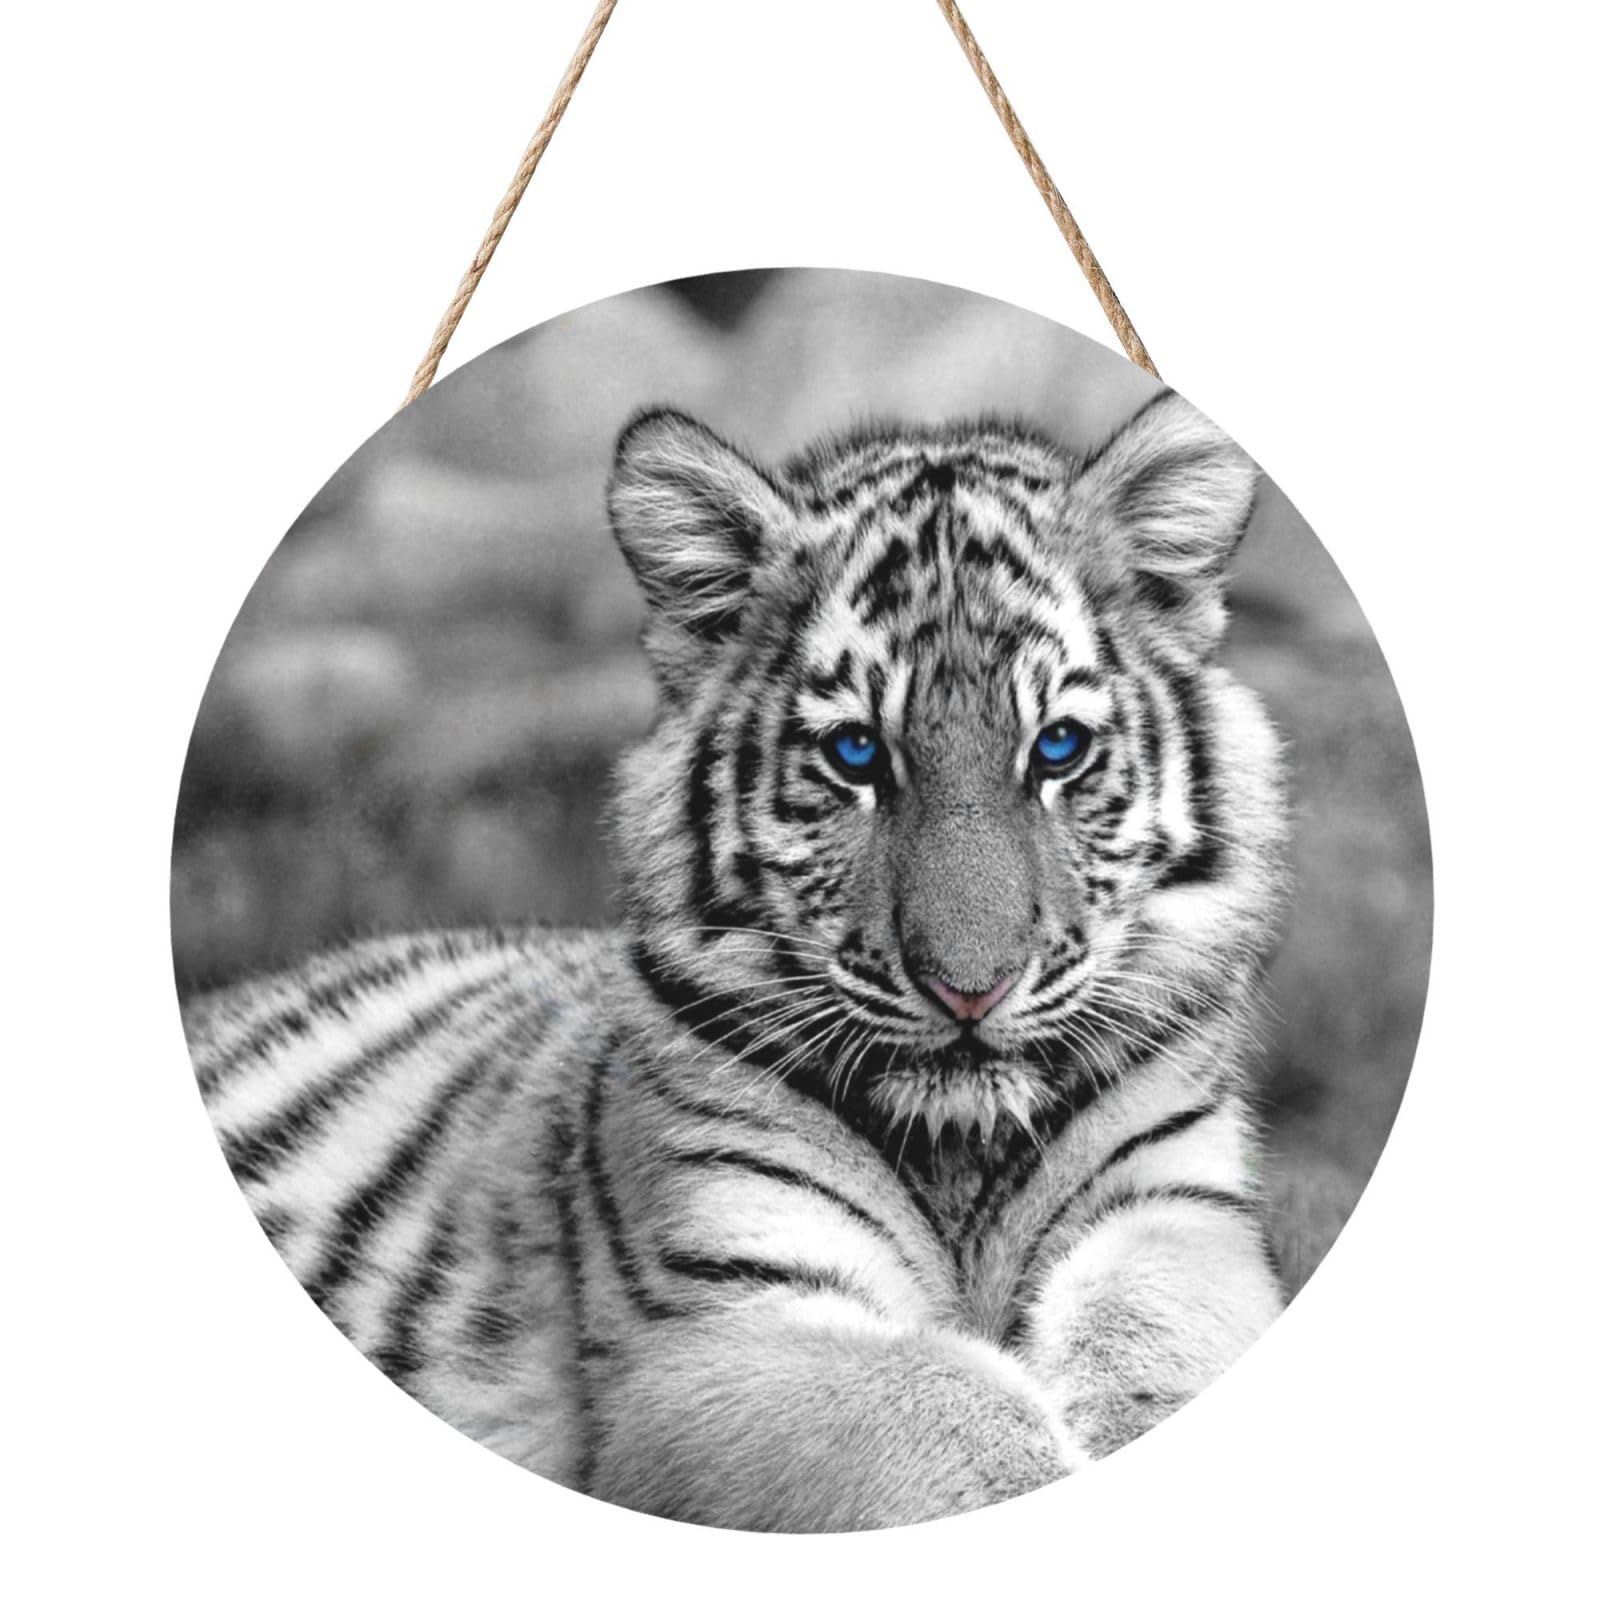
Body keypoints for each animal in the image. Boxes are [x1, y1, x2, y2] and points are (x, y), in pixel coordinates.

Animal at [183, 389, 1291, 1532]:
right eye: (856, 755)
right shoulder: (713, 1332)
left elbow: (1158, 1356)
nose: (968, 989)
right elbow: (945, 1414)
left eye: (1058, 749)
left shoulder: (1176, 1221)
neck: (957, 1152)